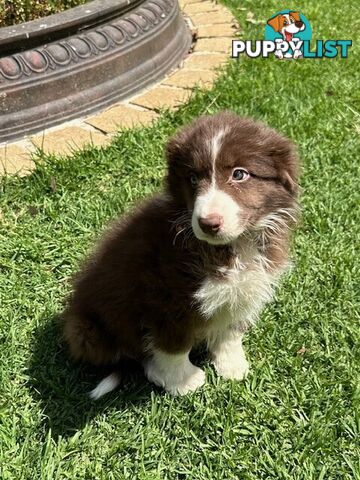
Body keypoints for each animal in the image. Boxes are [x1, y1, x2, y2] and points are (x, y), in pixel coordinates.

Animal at [63, 111, 300, 398]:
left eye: (239, 174)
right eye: (193, 178)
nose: (208, 223)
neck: (235, 246)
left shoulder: (245, 289)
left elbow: (230, 330)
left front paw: (231, 364)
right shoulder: (164, 299)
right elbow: (173, 345)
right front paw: (183, 381)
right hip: (87, 331)